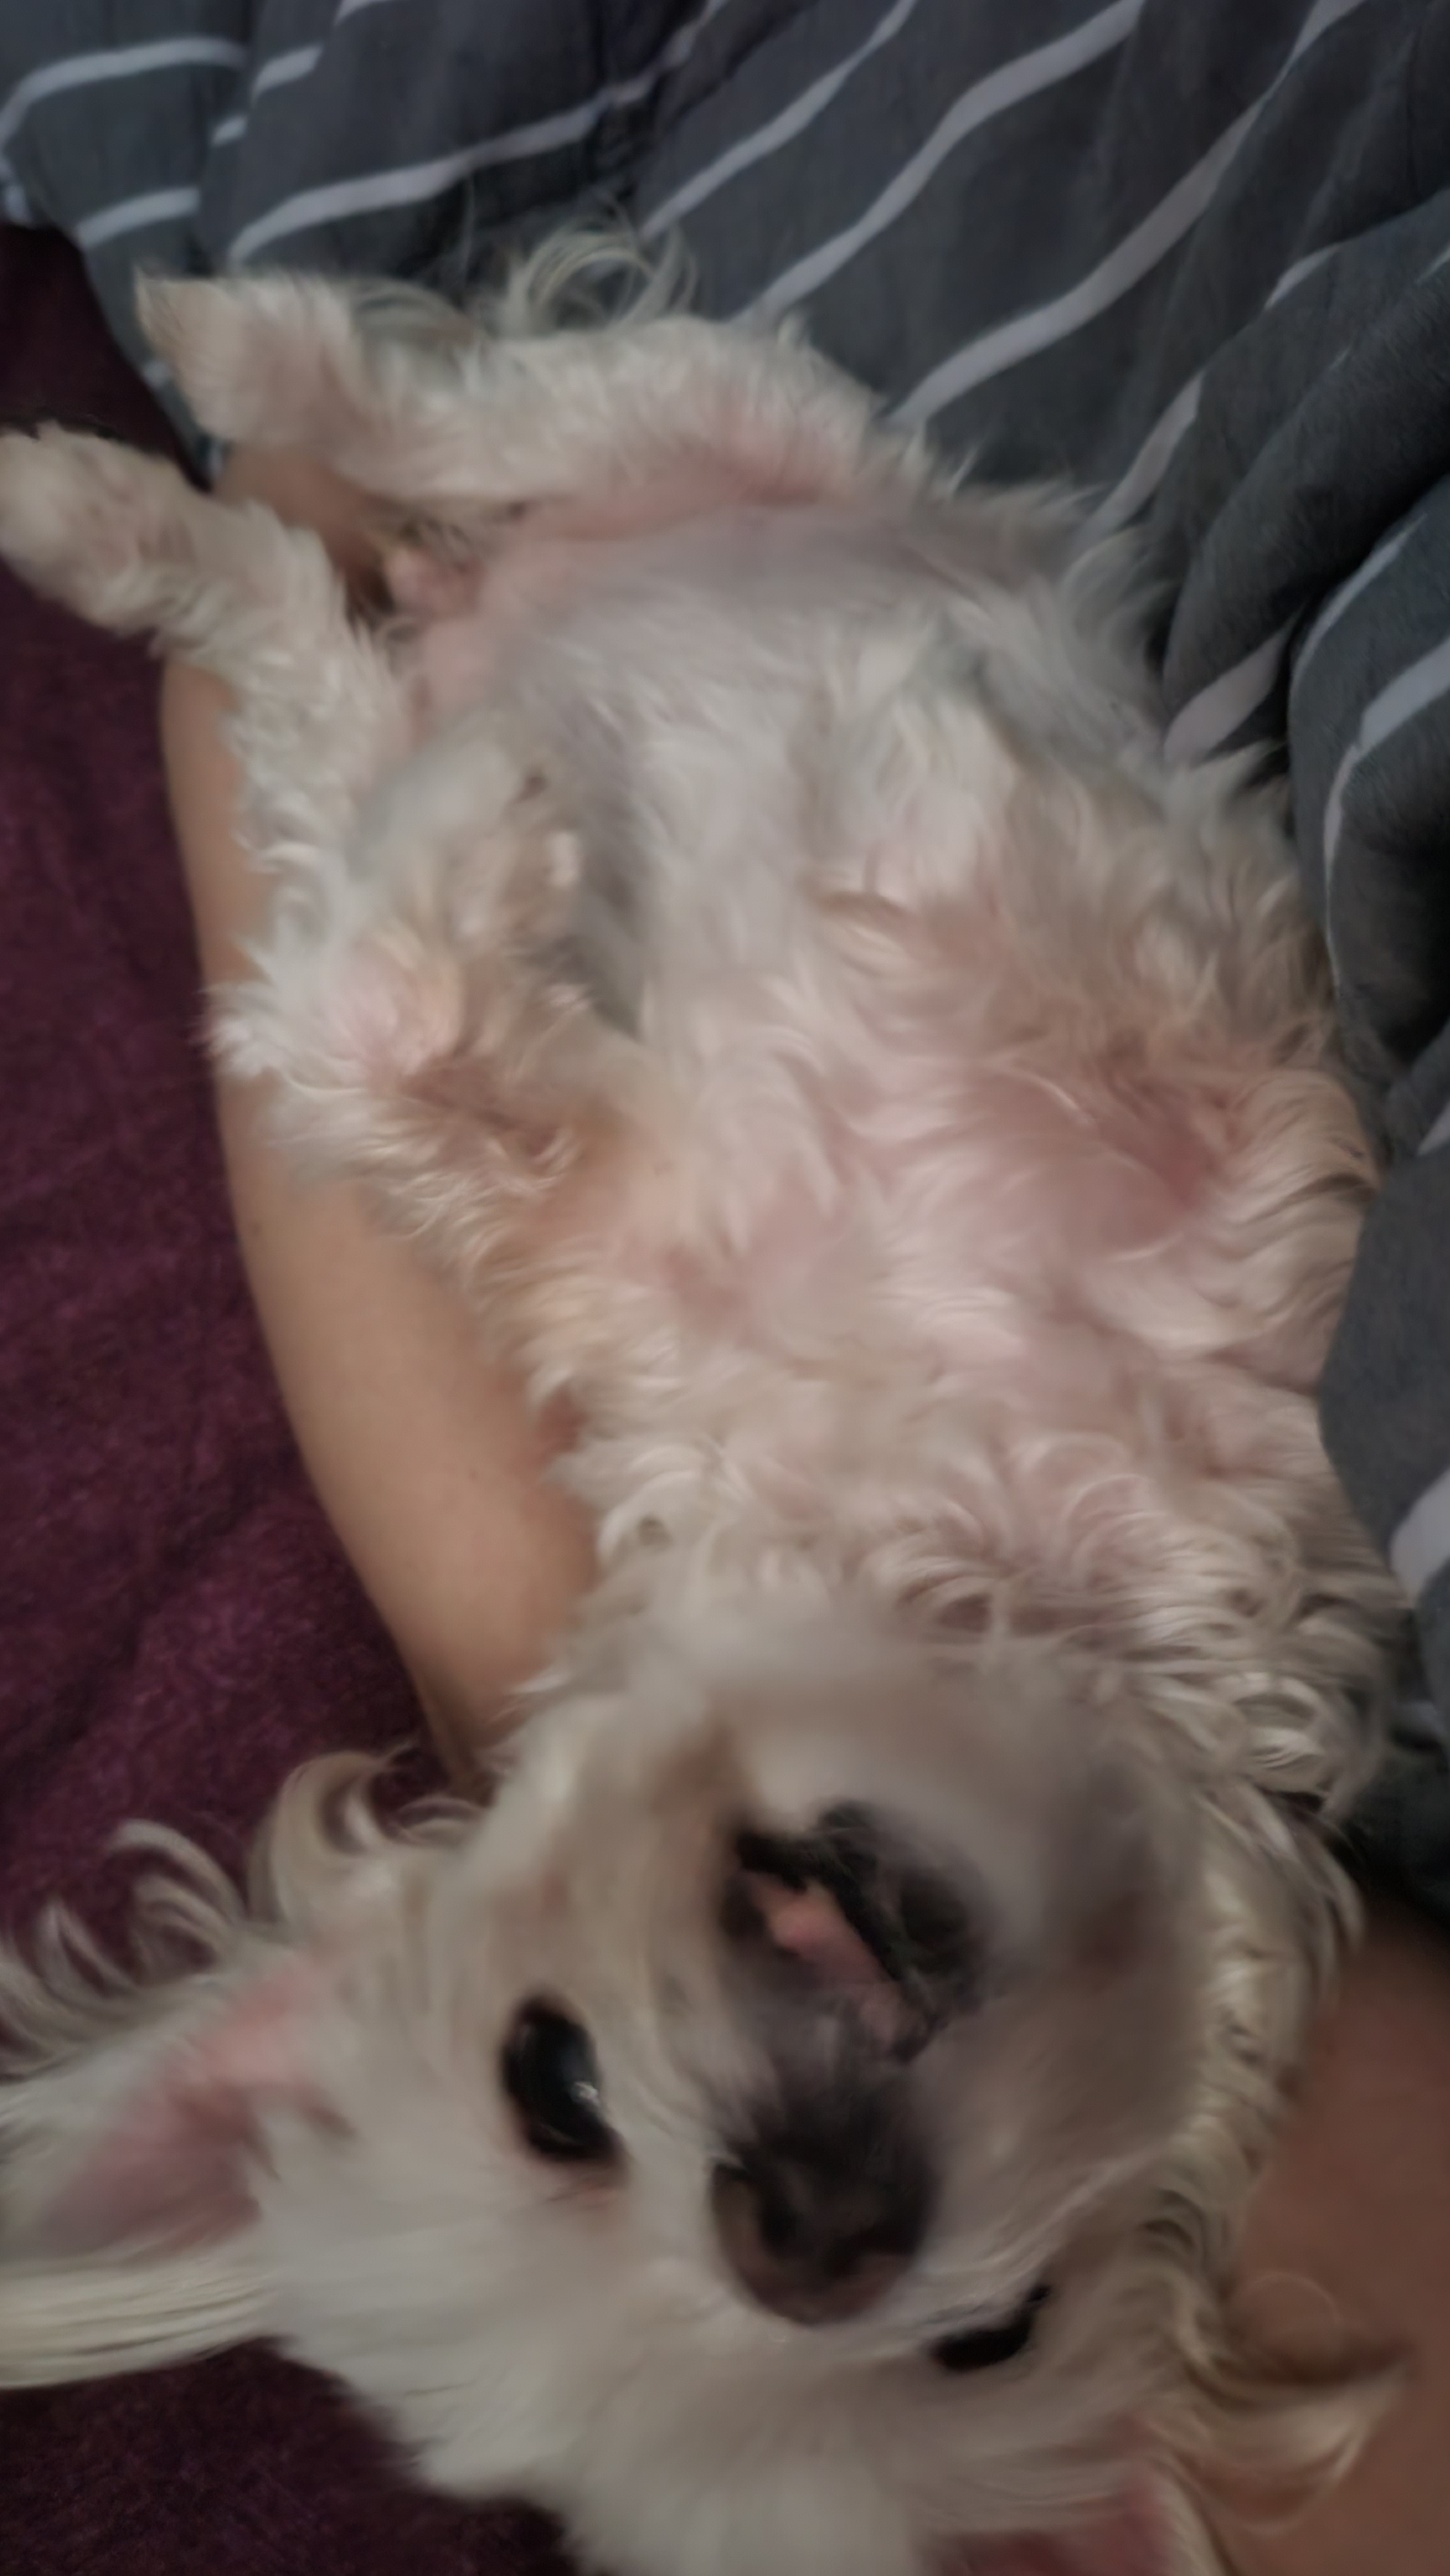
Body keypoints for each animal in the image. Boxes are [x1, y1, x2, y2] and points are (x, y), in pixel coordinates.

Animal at [0, 244, 1405, 2576]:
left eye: (982, 2333)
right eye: (553, 2085)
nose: (806, 2217)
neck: (964, 1556)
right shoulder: (568, 1210)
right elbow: (369, 1030)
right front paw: (485, 841)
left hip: (722, 445)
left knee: (411, 499)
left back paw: (194, 429)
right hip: (503, 586)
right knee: (322, 579)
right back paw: (144, 481)